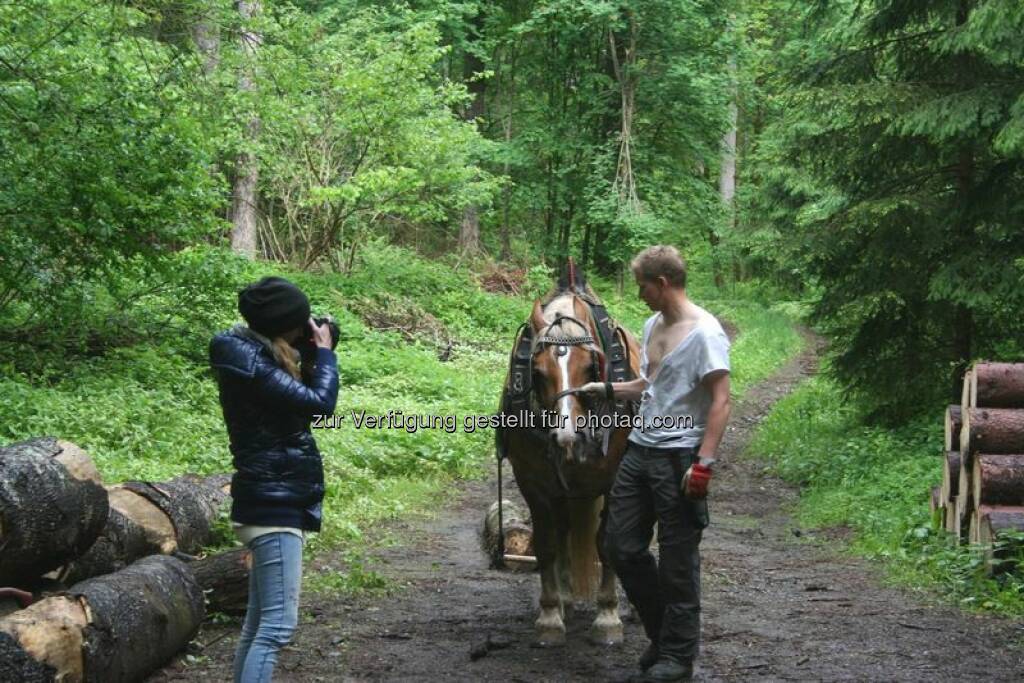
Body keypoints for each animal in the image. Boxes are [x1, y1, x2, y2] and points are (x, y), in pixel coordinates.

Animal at [497, 264, 638, 647]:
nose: (566, 435)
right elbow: (547, 544)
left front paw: (607, 616)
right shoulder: (533, 482)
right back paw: (564, 598)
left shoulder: (612, 480)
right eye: (537, 372)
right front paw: (549, 616)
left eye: (591, 367)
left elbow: (606, 543)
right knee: (562, 533)